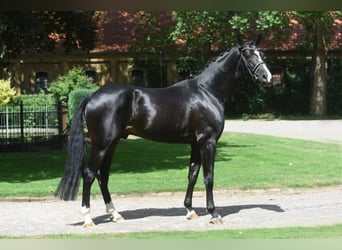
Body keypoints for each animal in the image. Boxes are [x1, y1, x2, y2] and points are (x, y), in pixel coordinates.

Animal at [54, 37, 272, 227]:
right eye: (247, 54)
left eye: (261, 53)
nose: (267, 77)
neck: (207, 90)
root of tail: (92, 96)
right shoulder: (208, 141)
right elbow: (208, 177)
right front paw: (214, 214)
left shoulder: (195, 143)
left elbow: (192, 174)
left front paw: (190, 210)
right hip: (101, 144)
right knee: (89, 174)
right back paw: (88, 218)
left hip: (112, 143)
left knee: (103, 175)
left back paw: (115, 214)